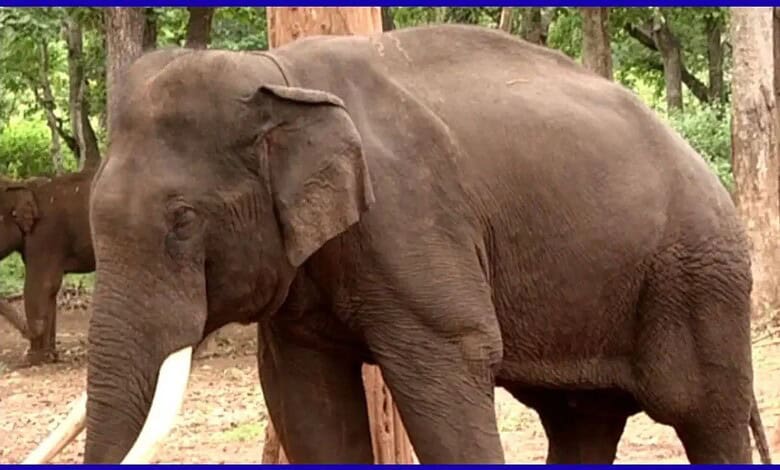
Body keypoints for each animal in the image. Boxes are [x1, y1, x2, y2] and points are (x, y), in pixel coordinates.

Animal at [0, 169, 95, 364]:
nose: (26, 332)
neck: (22, 186)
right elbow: (51, 290)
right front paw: (50, 356)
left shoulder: (45, 236)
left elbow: (40, 286)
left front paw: (33, 358)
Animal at [25, 24, 771, 464]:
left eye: (182, 220)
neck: (278, 72)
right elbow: (304, 392)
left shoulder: (413, 221)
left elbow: (450, 369)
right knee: (581, 418)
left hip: (699, 277)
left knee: (704, 414)